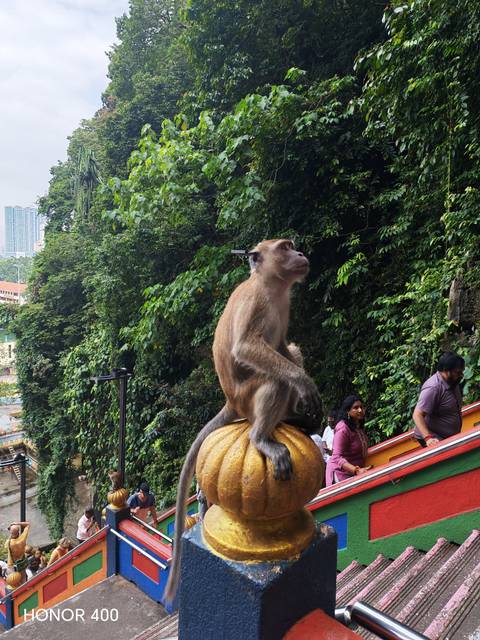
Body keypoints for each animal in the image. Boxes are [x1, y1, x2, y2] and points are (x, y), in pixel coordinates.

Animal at [163, 238, 321, 602]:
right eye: (286, 247)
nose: (301, 254)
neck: (272, 287)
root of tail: (231, 403)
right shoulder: (256, 301)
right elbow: (247, 348)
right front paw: (305, 385)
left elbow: (284, 348)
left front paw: (308, 393)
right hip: (246, 397)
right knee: (275, 379)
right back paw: (262, 437)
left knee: (290, 353)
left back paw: (294, 419)